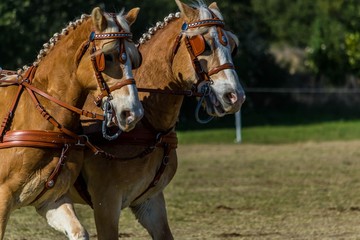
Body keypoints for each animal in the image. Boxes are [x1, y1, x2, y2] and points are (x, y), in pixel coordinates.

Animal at [0, 6, 143, 240]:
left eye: (134, 58)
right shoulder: (3, 199)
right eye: (107, 56)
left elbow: (79, 232)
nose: (133, 113)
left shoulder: (52, 200)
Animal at [48, 0, 245, 239]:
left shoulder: (149, 201)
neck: (149, 126)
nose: (235, 96)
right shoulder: (106, 202)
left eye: (232, 46)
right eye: (204, 45)